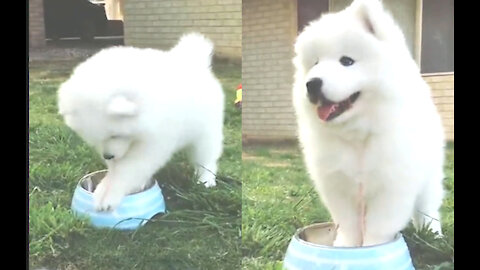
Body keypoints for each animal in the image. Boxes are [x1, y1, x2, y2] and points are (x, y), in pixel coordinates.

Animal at [58, 33, 225, 211]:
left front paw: (108, 193)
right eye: (95, 139)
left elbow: (130, 168)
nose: (108, 156)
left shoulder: (154, 142)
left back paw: (205, 179)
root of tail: (194, 62)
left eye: (115, 135)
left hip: (206, 130)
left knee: (206, 156)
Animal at [292, 0, 446, 247]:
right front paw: (346, 247)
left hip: (429, 175)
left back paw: (433, 233)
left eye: (347, 61)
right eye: (315, 63)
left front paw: (373, 247)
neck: (359, 135)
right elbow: (348, 225)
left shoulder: (391, 186)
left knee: (428, 207)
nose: (312, 84)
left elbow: (378, 227)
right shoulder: (338, 185)